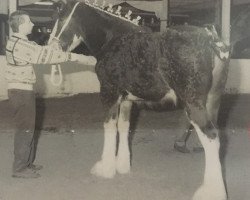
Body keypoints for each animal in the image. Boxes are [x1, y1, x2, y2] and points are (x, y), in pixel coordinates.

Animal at [50, 0, 230, 199]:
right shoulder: (126, 99)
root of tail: (210, 38)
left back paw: (210, 192)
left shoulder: (109, 92)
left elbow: (109, 127)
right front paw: (122, 165)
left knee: (211, 137)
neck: (113, 39)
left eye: (60, 17)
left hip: (193, 104)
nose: (51, 47)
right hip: (212, 101)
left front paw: (105, 168)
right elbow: (124, 126)